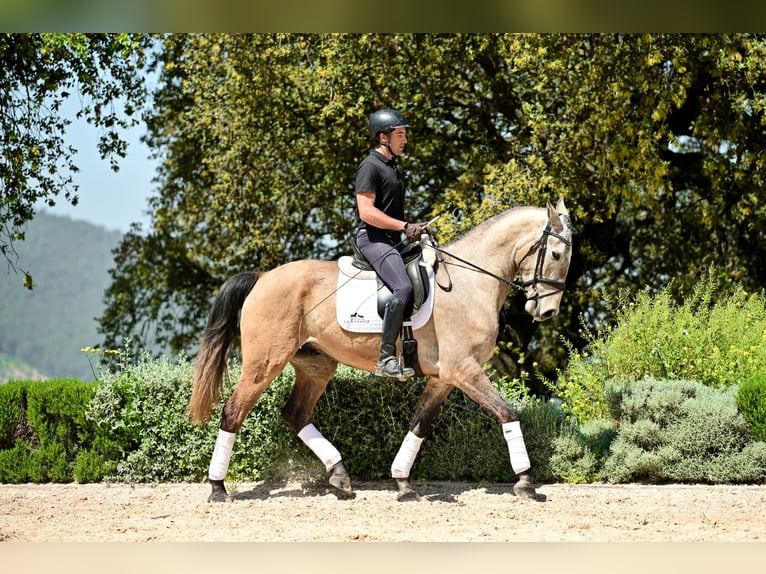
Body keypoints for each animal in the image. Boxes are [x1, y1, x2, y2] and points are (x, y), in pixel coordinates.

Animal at [189, 198, 580, 504]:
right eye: (556, 253)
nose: (546, 312)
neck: (470, 282)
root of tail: (263, 277)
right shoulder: (464, 370)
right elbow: (506, 412)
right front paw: (526, 481)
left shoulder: (444, 377)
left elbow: (419, 425)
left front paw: (403, 482)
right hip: (264, 362)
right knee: (233, 412)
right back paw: (218, 488)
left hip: (316, 366)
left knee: (296, 414)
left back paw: (340, 476)